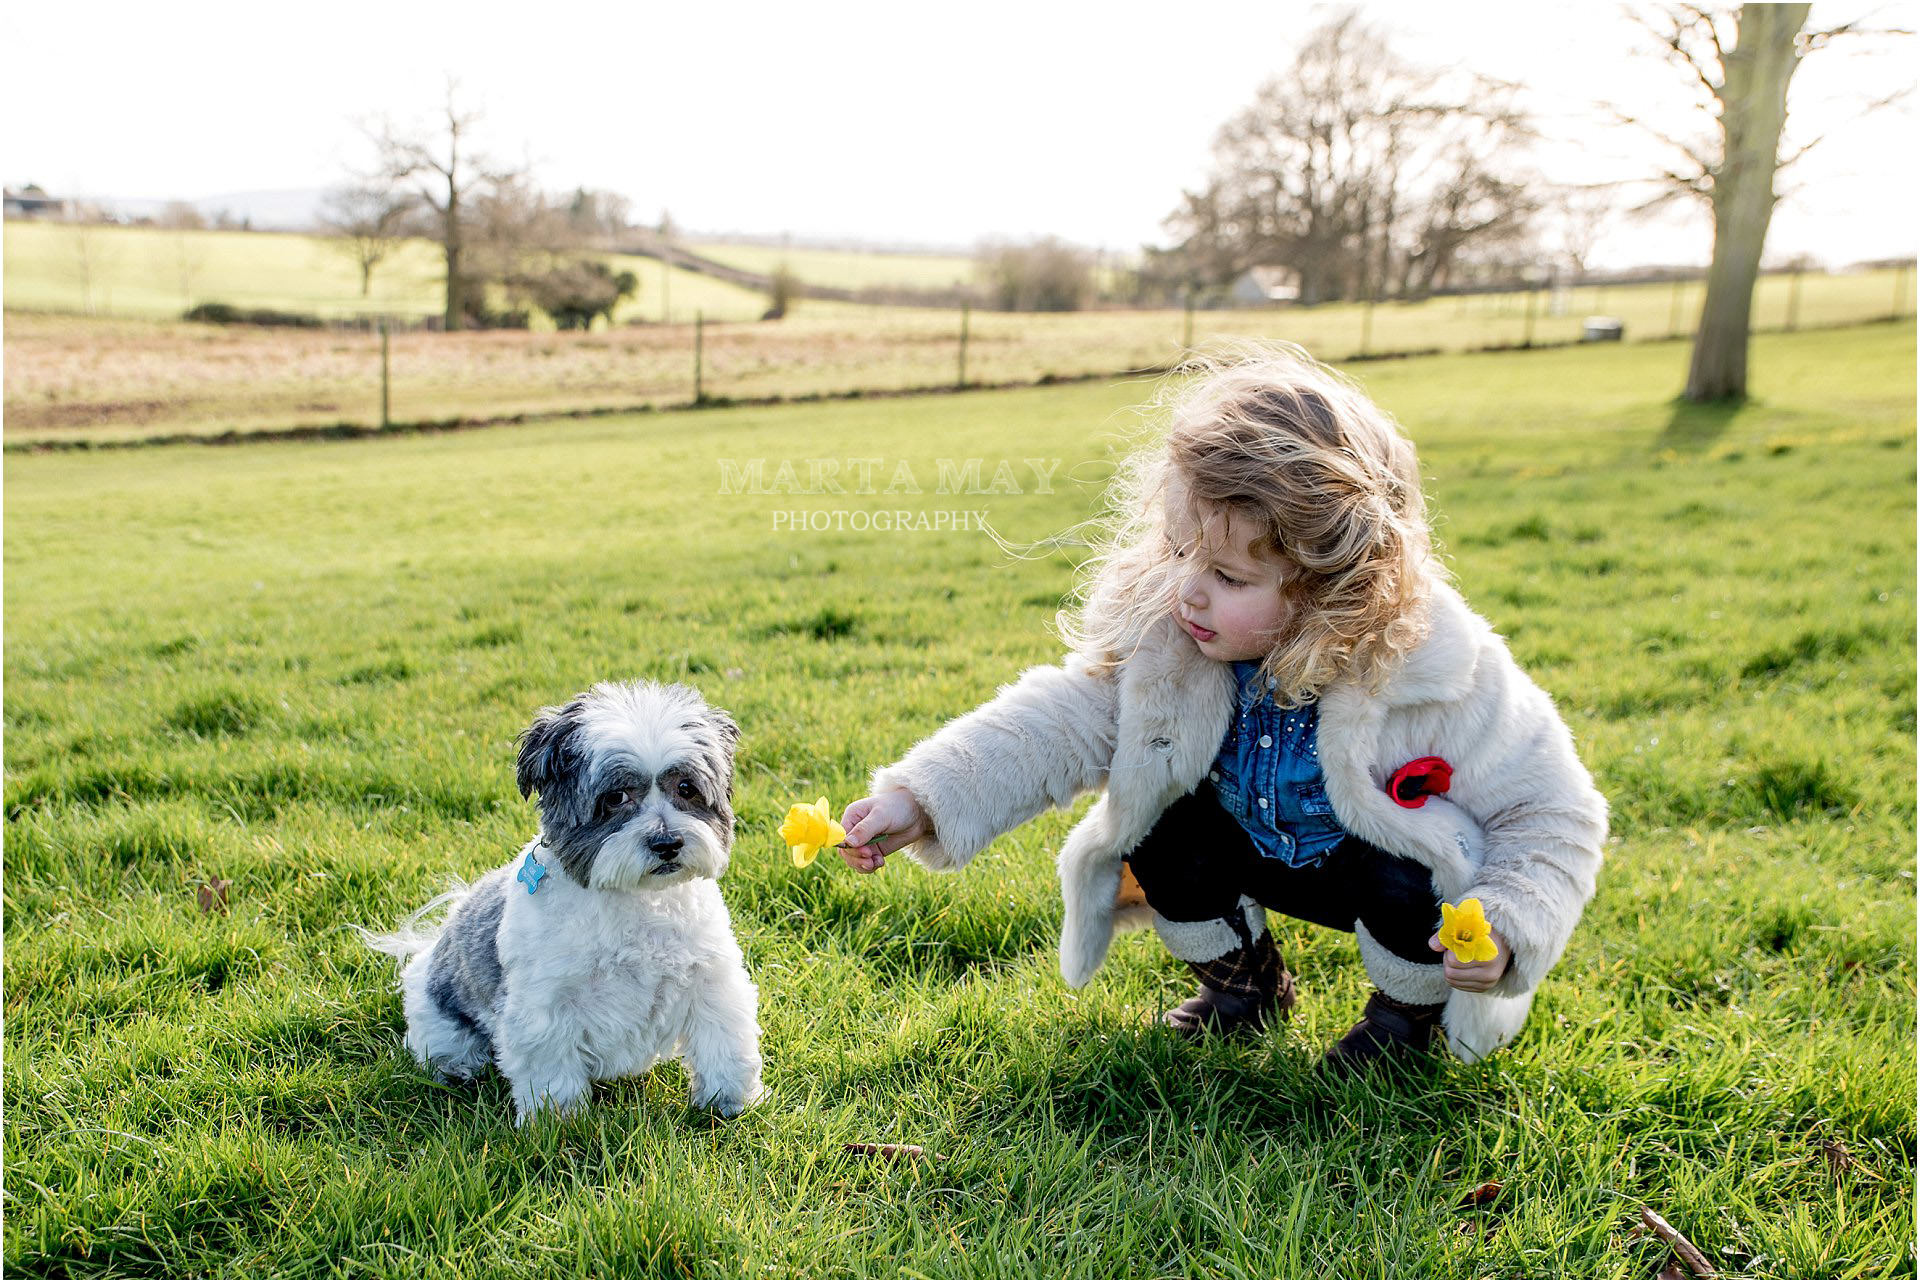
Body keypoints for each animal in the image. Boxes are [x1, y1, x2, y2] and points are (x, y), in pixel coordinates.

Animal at [366, 679, 764, 1121]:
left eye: (687, 789)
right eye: (615, 797)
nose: (667, 842)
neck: (636, 900)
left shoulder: (711, 983)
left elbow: (724, 1044)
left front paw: (730, 1102)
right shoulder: (545, 1009)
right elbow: (551, 1071)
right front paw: (558, 1121)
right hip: (440, 1018)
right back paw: (458, 1070)